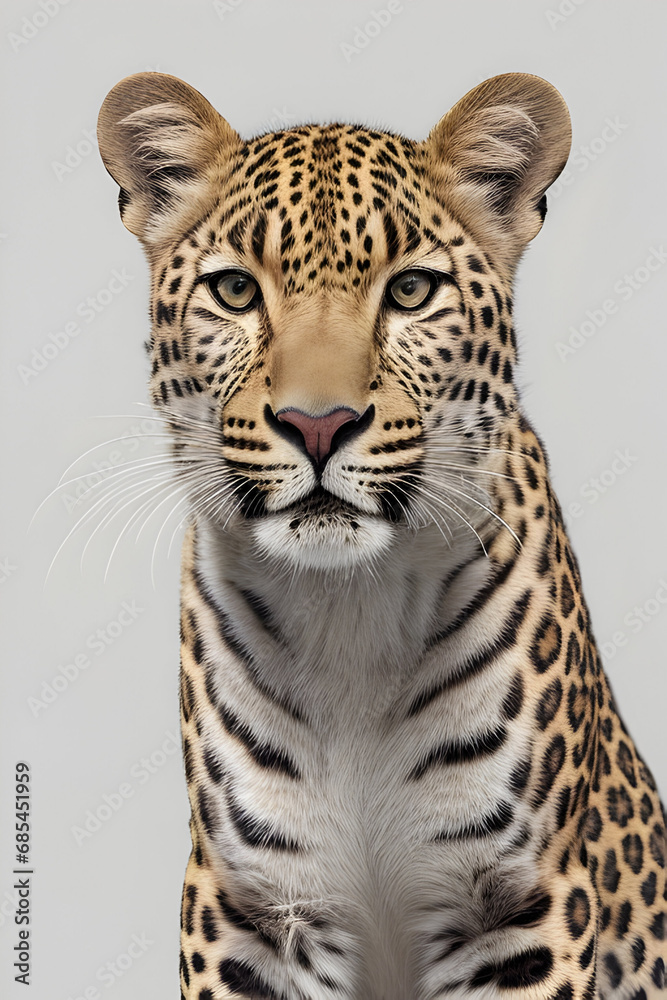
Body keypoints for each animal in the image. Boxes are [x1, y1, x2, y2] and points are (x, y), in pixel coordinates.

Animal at [97, 71, 666, 999]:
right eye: (235, 292)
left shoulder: (521, 905)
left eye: (409, 292)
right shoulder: (249, 908)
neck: (347, 616)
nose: (317, 424)